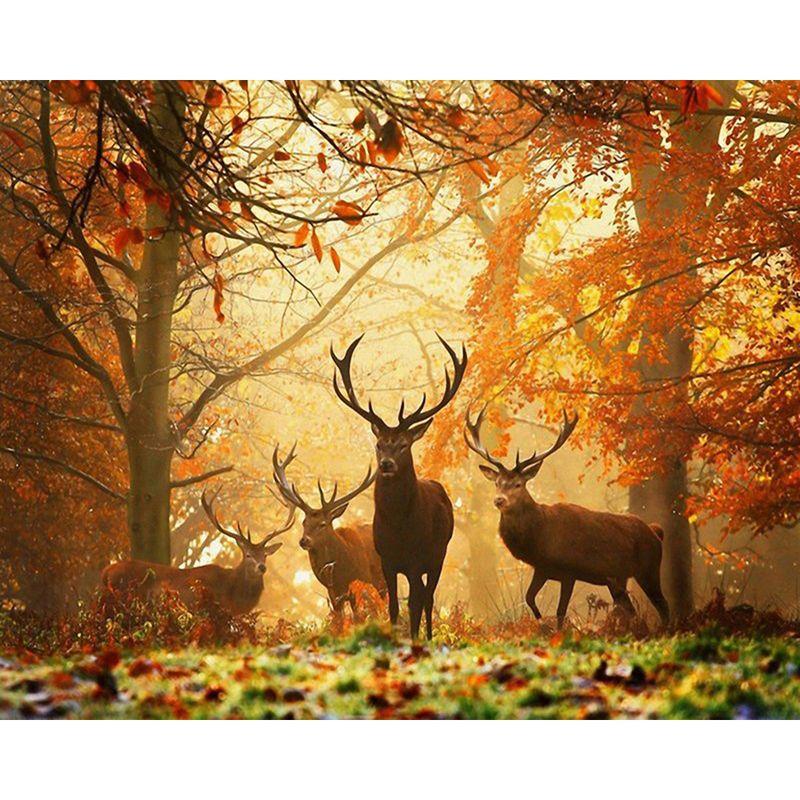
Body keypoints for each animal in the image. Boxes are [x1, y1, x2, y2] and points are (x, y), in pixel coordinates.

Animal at [331, 333, 467, 640]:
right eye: (379, 444)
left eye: (404, 445)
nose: (386, 464)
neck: (399, 527)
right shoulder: (387, 560)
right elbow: (394, 606)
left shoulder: (417, 559)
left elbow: (414, 605)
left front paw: (415, 639)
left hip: (439, 554)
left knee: (428, 598)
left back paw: (428, 637)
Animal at [464, 406, 670, 629]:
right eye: (497, 483)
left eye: (518, 484)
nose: (499, 500)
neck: (539, 538)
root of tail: (656, 532)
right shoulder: (542, 568)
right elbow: (529, 598)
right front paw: (541, 622)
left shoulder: (569, 571)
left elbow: (561, 611)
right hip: (617, 579)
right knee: (631, 610)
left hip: (649, 568)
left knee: (663, 606)